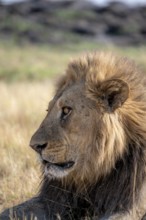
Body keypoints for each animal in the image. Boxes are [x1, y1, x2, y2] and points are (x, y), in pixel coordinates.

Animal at [0, 52, 146, 219]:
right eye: (48, 110)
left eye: (66, 110)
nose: (35, 146)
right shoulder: (51, 201)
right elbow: (8, 211)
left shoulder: (130, 205)